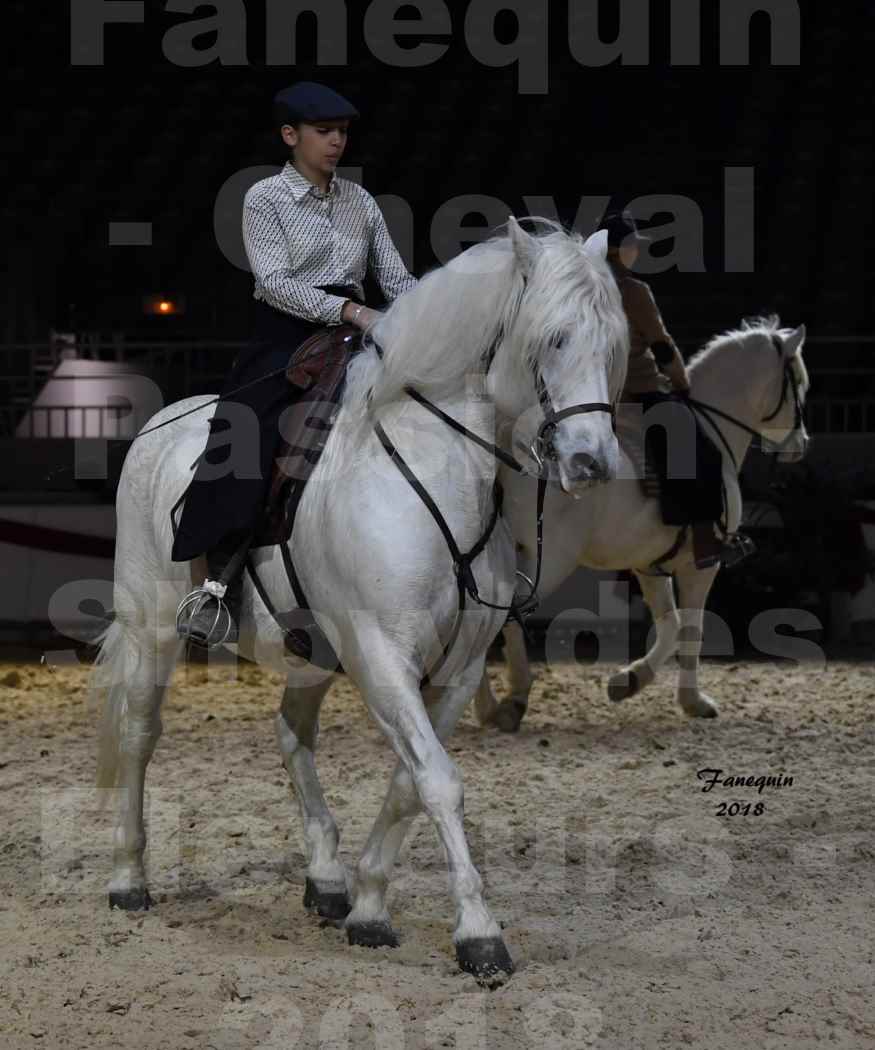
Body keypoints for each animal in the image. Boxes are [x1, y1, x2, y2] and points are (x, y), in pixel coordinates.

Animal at [90, 217, 630, 978]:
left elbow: (413, 780)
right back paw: (128, 879)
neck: (433, 470)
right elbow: (438, 780)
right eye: (552, 339)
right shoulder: (382, 656)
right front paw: (478, 933)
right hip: (151, 628)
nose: (591, 462)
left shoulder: (456, 670)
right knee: (139, 734)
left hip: (308, 652)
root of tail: (161, 423)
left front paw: (371, 906)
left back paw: (325, 879)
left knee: (291, 733)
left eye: (610, 344)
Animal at [474, 315, 810, 734]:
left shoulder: (650, 566)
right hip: (547, 560)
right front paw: (693, 701)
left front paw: (628, 681)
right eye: (799, 382)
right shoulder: (702, 565)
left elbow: (669, 624)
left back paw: (483, 705)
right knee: (508, 616)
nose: (801, 444)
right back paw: (512, 698)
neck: (713, 427)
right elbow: (691, 629)